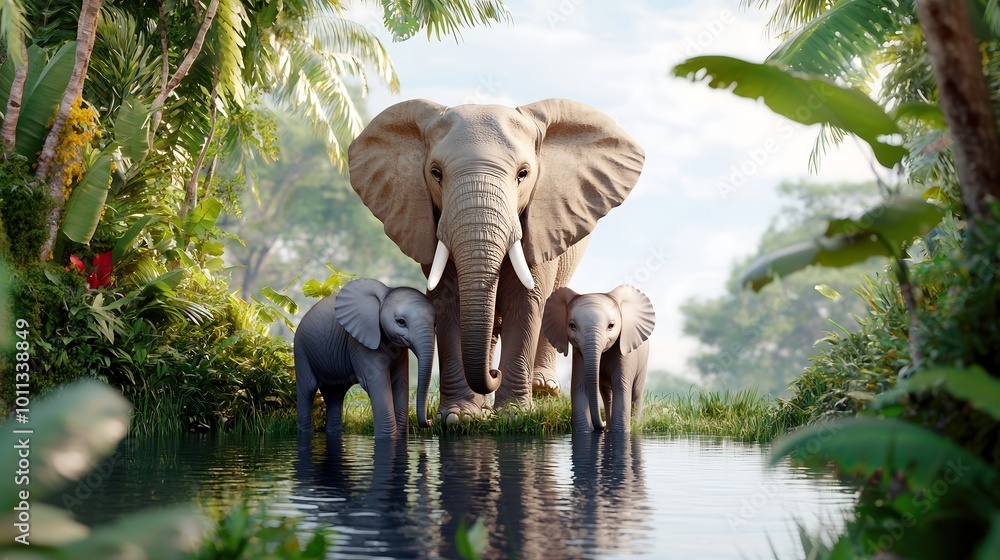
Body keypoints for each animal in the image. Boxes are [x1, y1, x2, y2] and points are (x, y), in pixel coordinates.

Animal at [294, 278, 436, 438]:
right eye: (401, 322)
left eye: (435, 323)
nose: (430, 421)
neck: (385, 295)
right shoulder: (358, 341)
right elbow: (377, 382)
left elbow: (400, 382)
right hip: (301, 349)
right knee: (308, 388)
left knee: (335, 394)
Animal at [348, 99, 644, 422]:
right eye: (436, 173)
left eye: (523, 174)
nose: (494, 373)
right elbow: (448, 303)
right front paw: (460, 417)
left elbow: (526, 301)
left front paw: (513, 415)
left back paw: (542, 389)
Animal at [542, 285, 655, 433]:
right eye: (572, 325)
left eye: (611, 325)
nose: (601, 425)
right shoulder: (578, 353)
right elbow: (578, 386)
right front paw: (585, 432)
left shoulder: (625, 353)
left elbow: (621, 386)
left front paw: (621, 432)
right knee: (606, 394)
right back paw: (608, 428)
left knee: (636, 392)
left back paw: (631, 426)